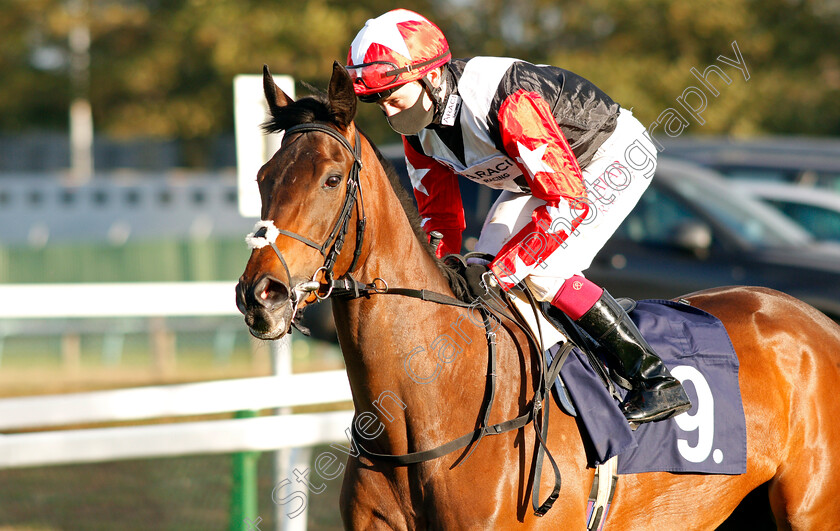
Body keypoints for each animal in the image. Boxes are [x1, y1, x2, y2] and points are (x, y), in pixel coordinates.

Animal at [233, 63, 840, 531]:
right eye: (262, 177)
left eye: (332, 178)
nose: (260, 294)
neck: (425, 412)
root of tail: (820, 324)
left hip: (813, 511)